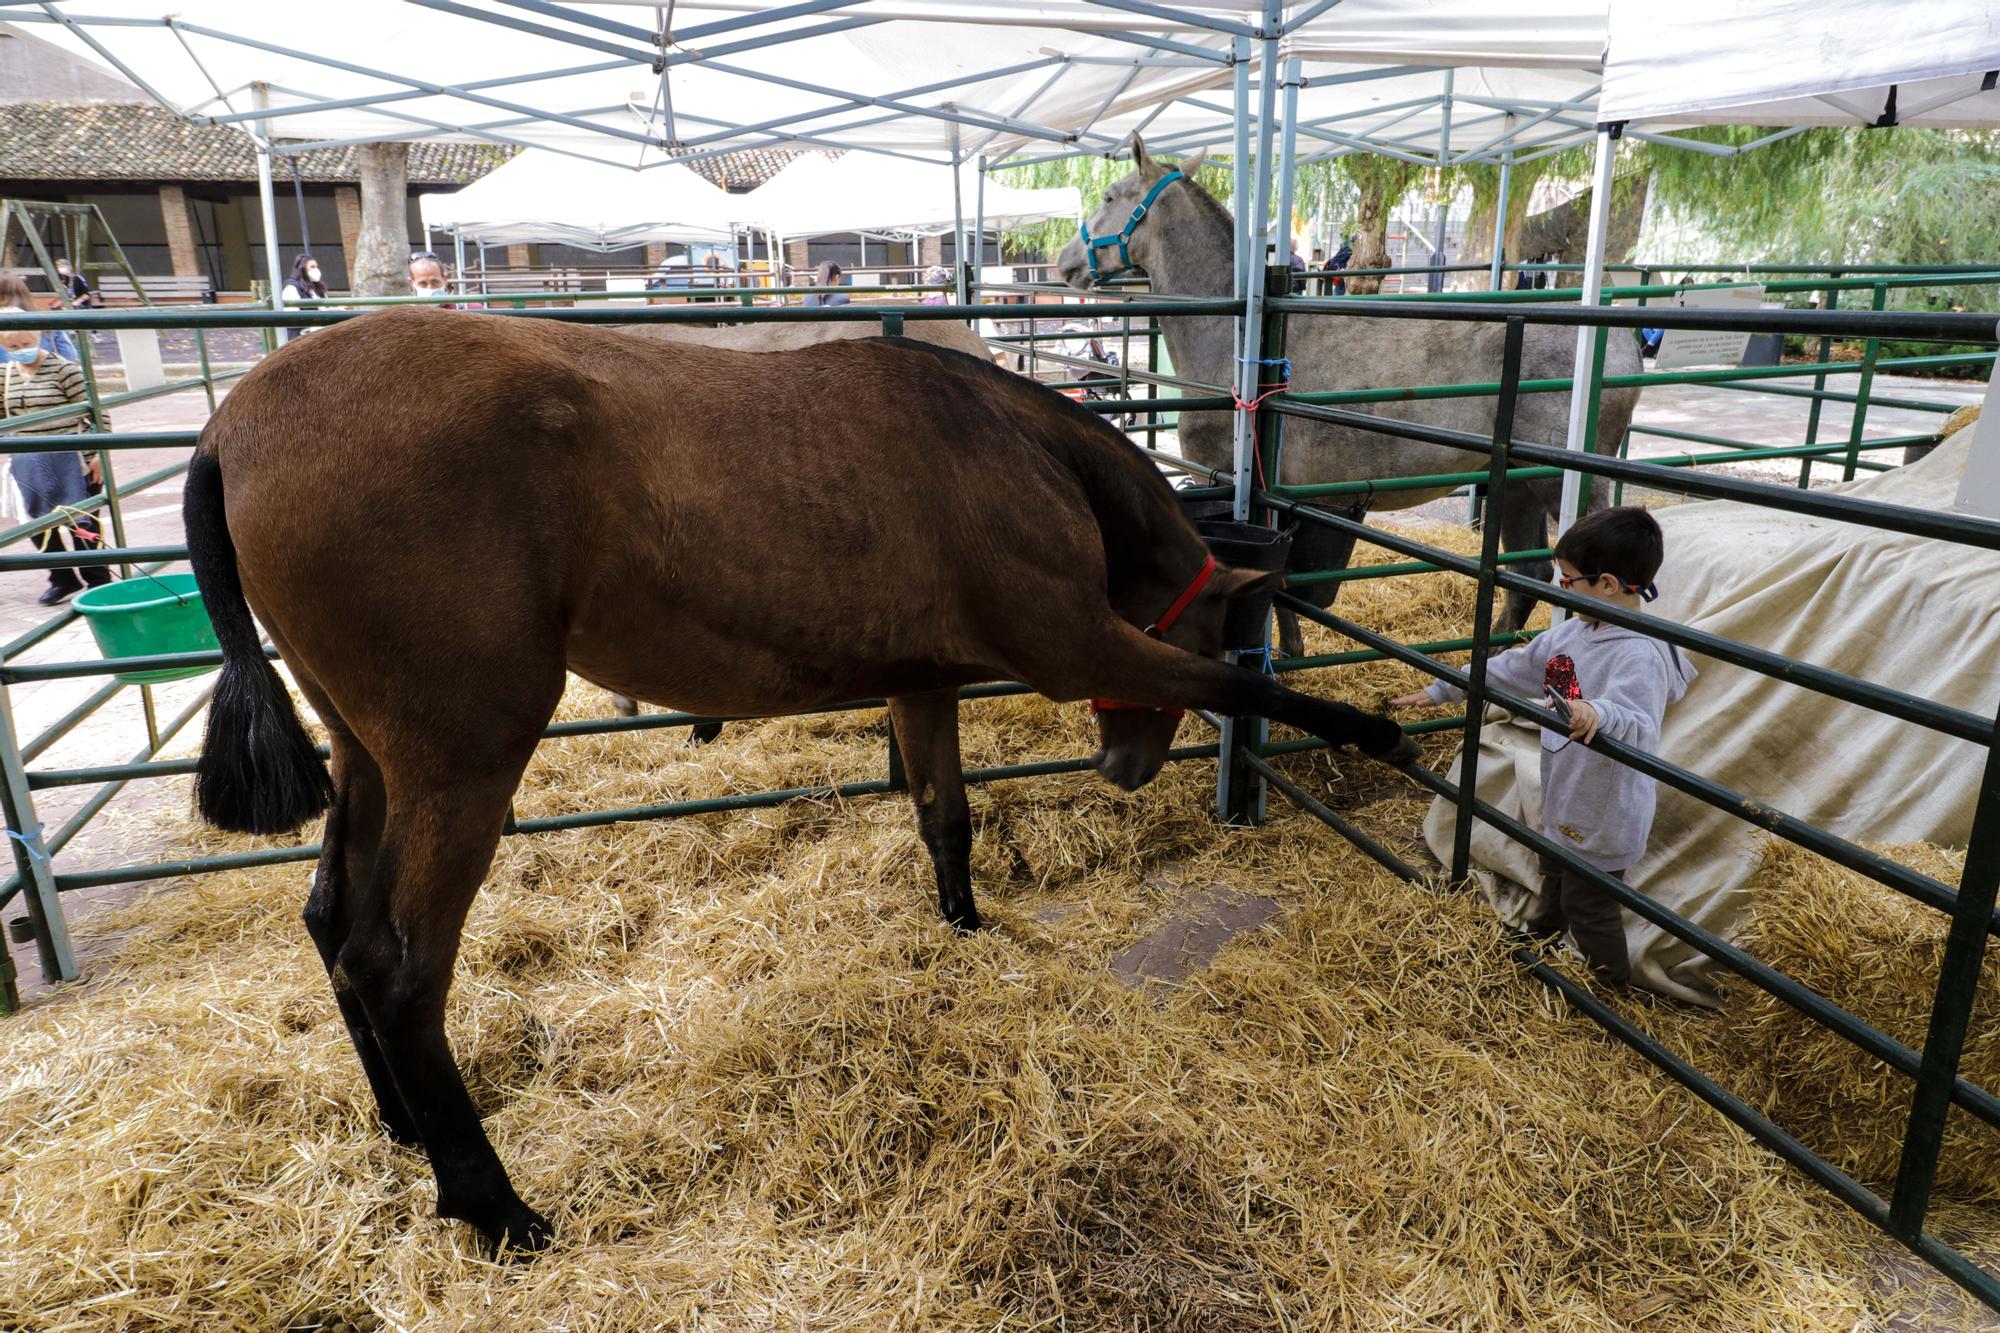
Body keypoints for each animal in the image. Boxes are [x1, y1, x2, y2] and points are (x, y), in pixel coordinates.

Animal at [180, 306, 1416, 1248]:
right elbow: (1241, 689)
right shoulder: (1082, 646)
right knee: (396, 966)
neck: (998, 442)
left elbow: (945, 818)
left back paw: (402, 1123)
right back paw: (491, 1203)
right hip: (460, 765)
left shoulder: (922, 683)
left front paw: (964, 926)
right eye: (1213, 614)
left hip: (367, 756)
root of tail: (231, 426)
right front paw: (1374, 731)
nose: (1122, 765)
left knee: (333, 923)